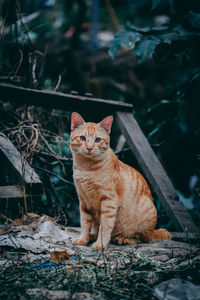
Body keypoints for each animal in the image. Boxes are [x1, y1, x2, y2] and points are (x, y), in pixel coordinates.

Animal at [70, 111, 170, 250]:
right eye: (83, 138)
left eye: (97, 140)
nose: (89, 148)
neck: (86, 168)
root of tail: (153, 231)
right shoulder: (84, 201)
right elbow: (85, 224)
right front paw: (83, 239)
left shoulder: (108, 201)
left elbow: (104, 226)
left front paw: (100, 244)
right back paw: (93, 236)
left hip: (144, 216)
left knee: (142, 239)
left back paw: (122, 239)